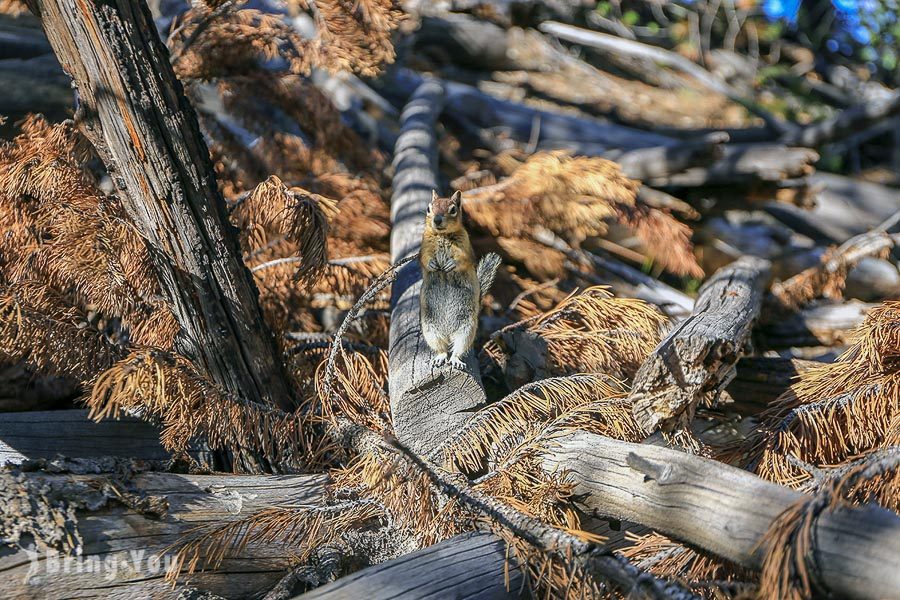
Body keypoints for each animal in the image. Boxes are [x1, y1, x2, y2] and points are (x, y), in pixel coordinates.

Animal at [420, 190, 502, 368]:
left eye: (453, 210)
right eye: (429, 208)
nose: (437, 220)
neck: (443, 235)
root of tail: (448, 332)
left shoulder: (465, 247)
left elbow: (463, 259)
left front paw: (451, 264)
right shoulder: (424, 246)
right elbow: (424, 258)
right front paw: (432, 264)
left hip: (467, 329)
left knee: (458, 348)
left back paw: (456, 360)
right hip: (431, 329)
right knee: (442, 348)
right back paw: (440, 357)